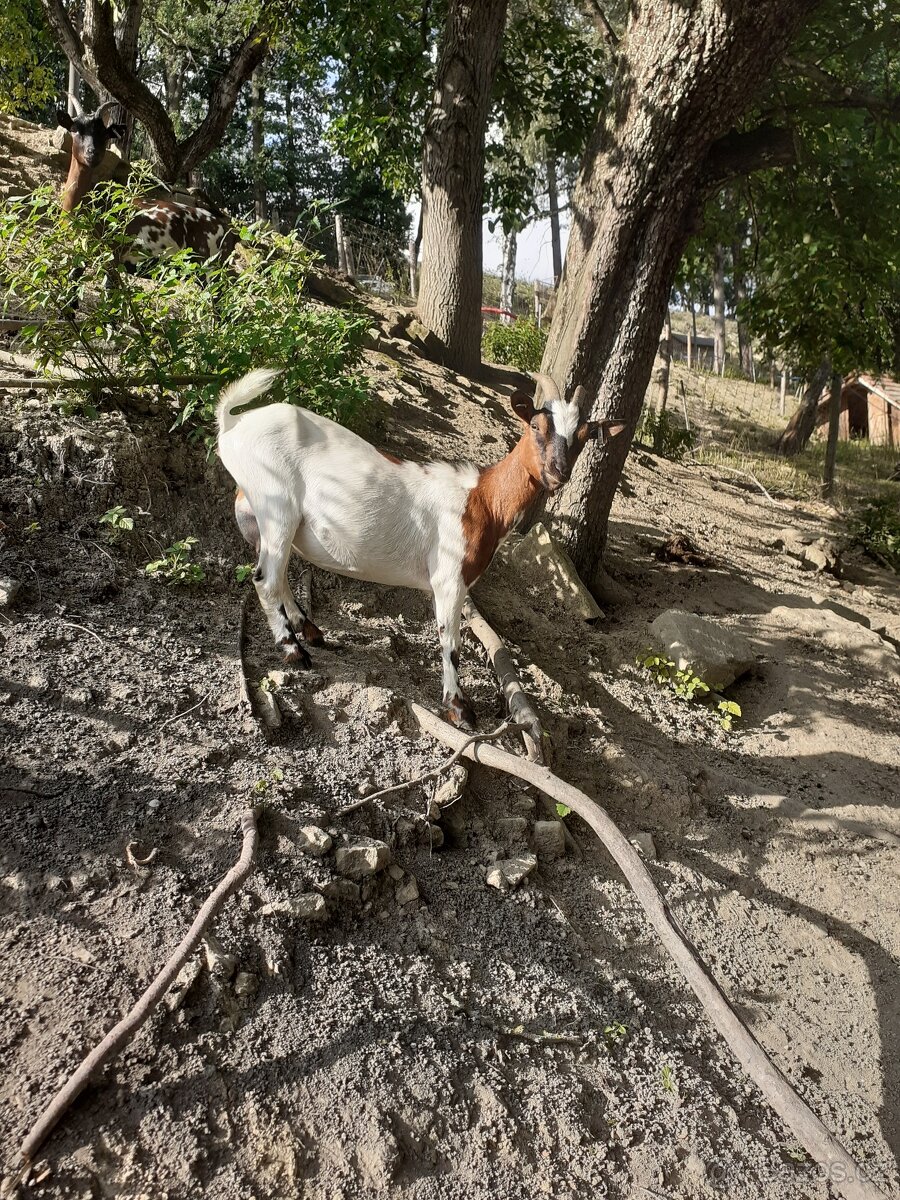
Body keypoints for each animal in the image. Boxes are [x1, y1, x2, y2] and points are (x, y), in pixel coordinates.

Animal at [218, 367, 628, 720]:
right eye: (536, 425)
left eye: (584, 436)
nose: (559, 472)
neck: (482, 499)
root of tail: (232, 425)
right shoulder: (449, 578)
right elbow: (451, 643)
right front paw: (459, 707)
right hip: (276, 504)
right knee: (265, 579)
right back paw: (293, 651)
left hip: (265, 518)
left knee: (278, 575)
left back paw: (310, 631)